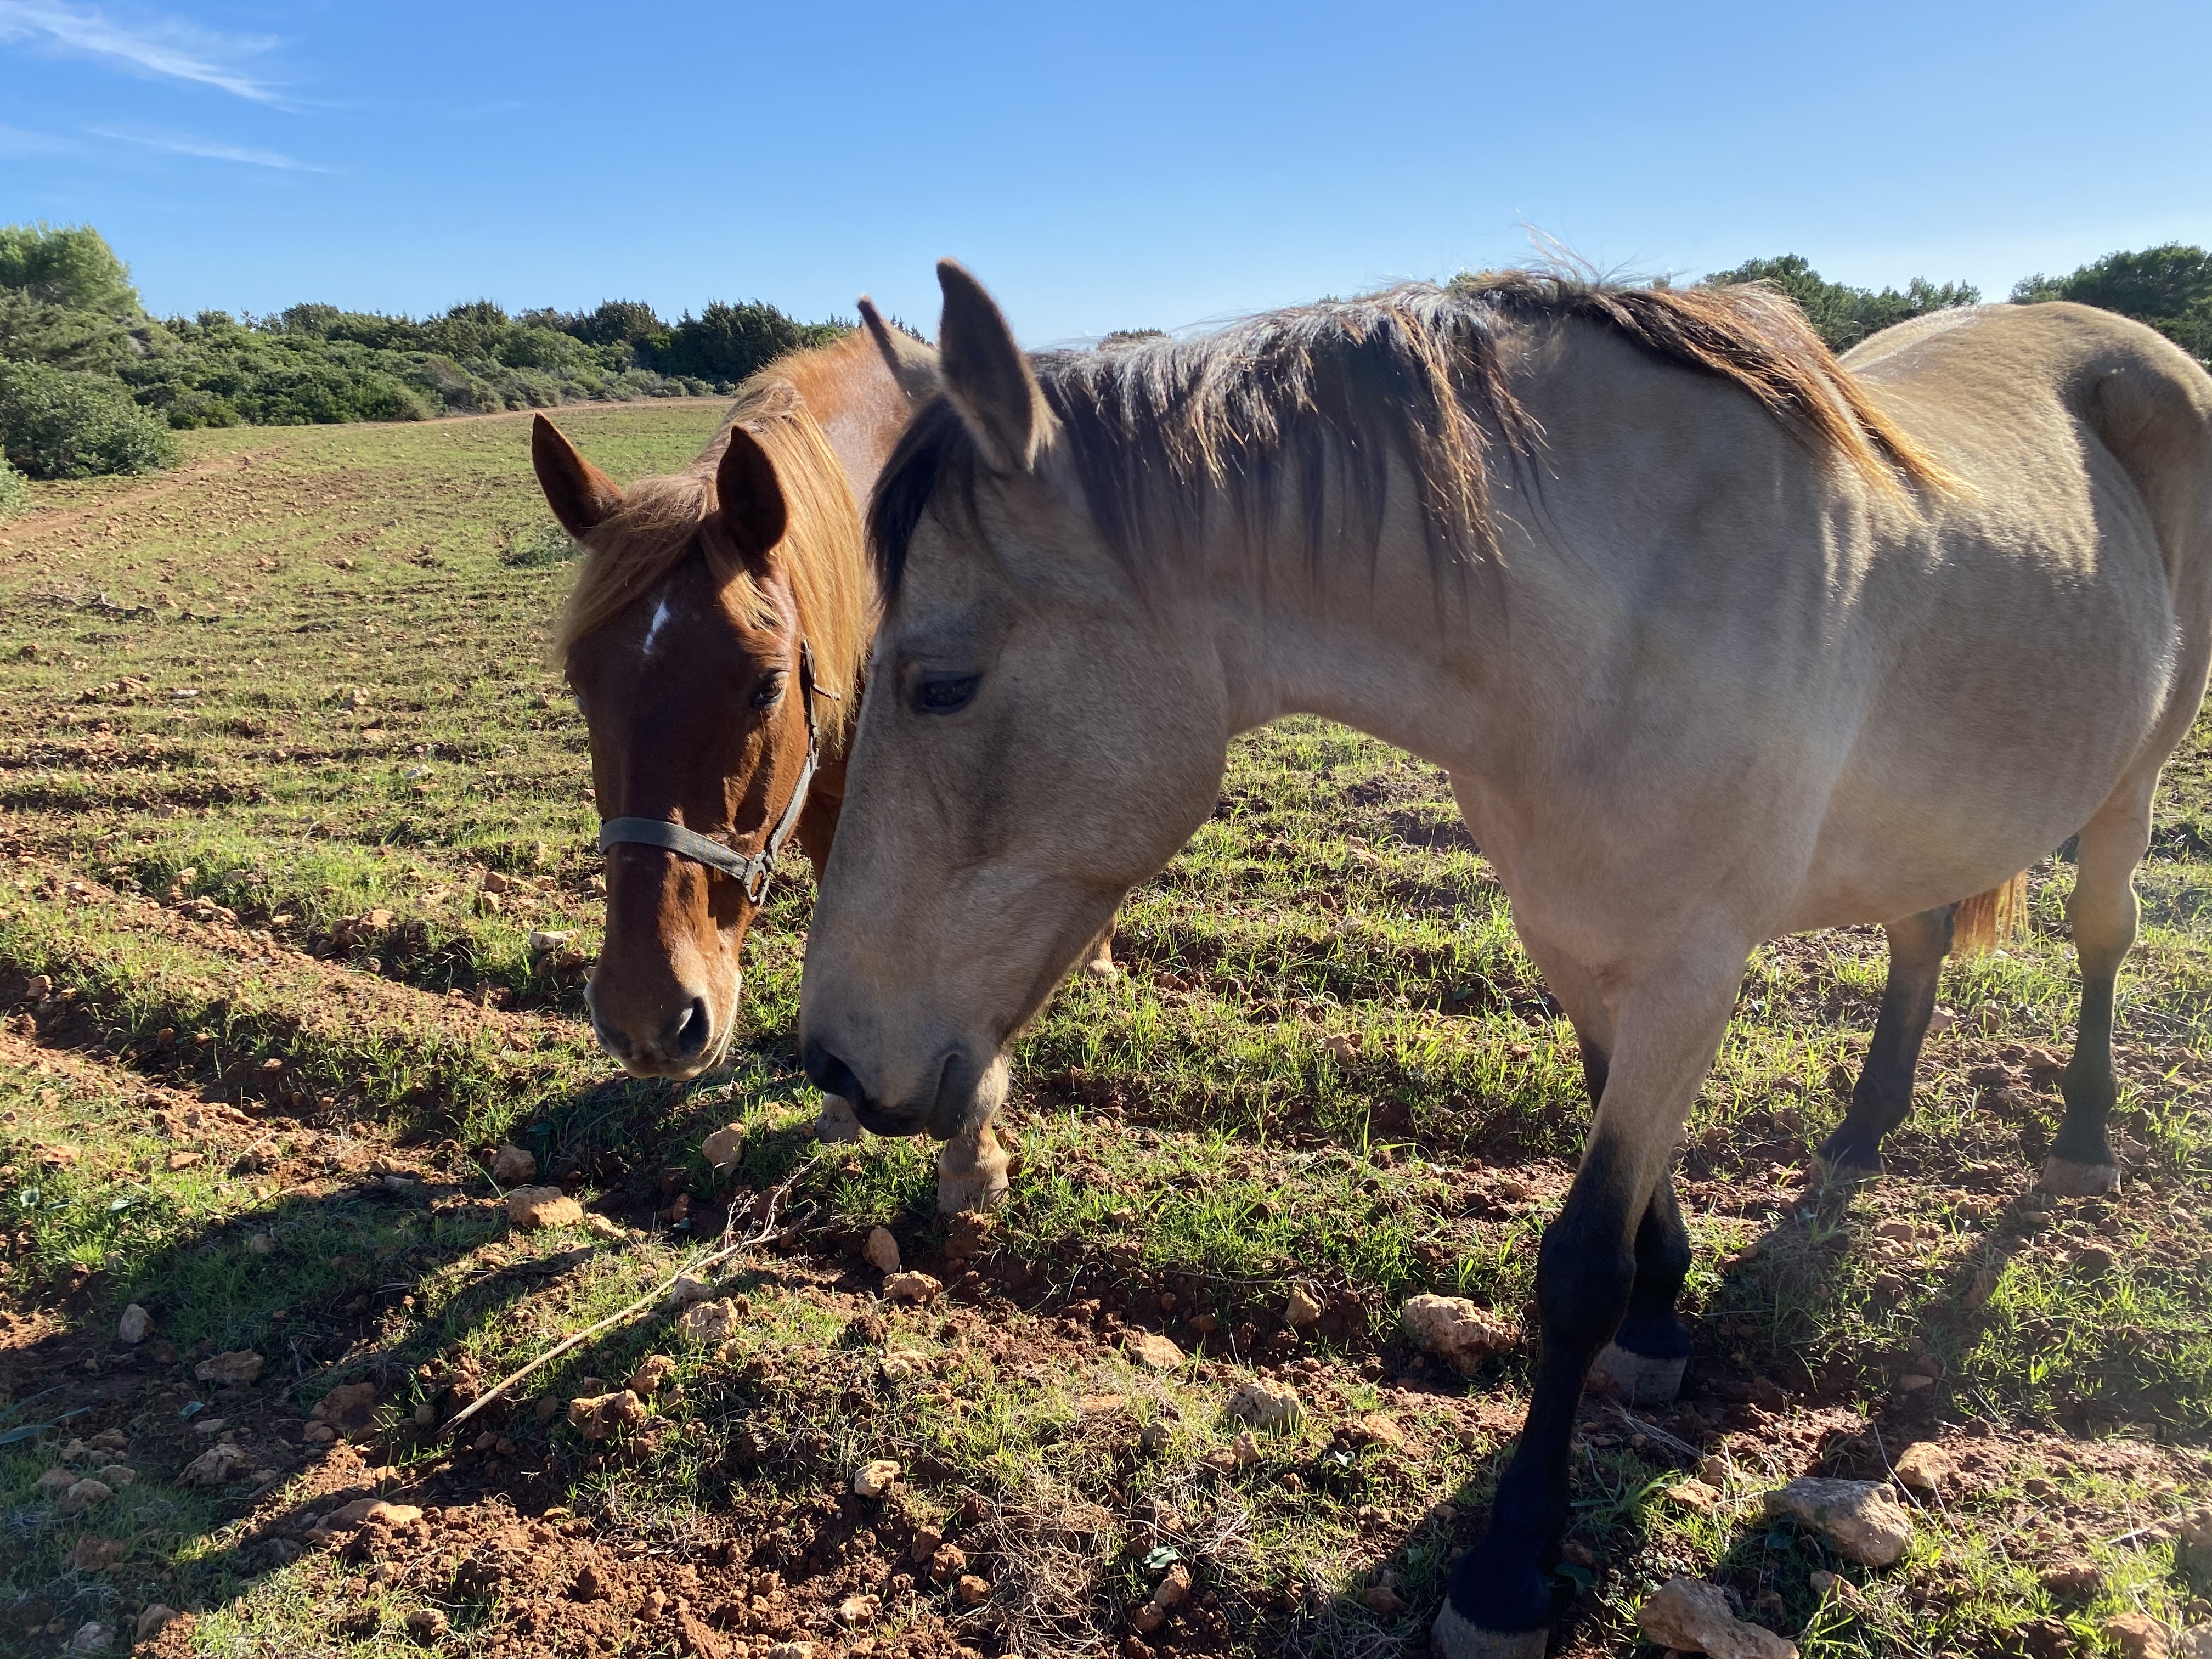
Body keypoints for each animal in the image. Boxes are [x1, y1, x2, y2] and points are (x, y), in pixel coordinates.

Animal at [531, 318, 1106, 1212]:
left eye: (767, 686)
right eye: (581, 685)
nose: (647, 1018)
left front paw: (972, 1153)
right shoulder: (826, 809)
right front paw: (839, 1109)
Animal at [800, 266, 2212, 1654]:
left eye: (941, 684)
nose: (833, 1060)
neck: (1624, 615)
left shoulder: (1693, 969)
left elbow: (1580, 1262)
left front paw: (1506, 1570)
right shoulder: (1577, 942)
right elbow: (1632, 1184)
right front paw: (1663, 1323)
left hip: (2135, 777)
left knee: (2103, 933)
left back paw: (2083, 1137)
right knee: (1918, 935)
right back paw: (1865, 1130)